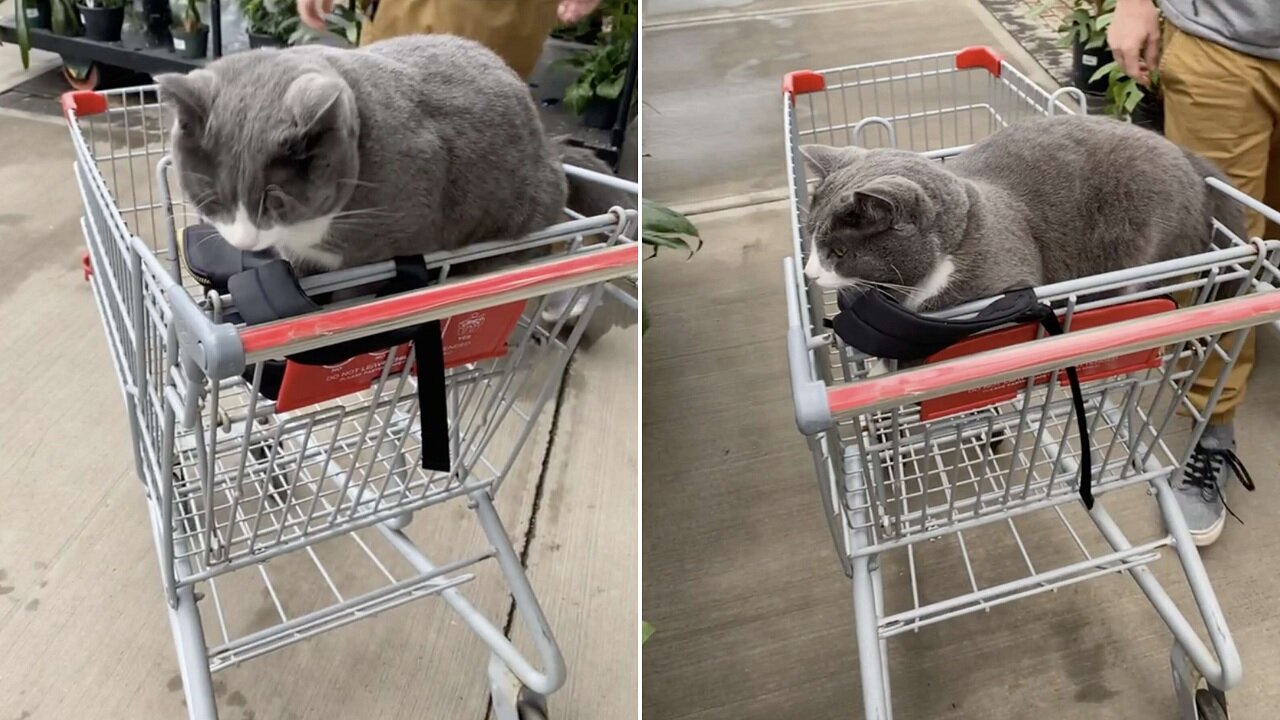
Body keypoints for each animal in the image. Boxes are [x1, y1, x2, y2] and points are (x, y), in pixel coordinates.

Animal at [803, 113, 1244, 310]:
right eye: (809, 240)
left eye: (838, 252)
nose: (809, 273)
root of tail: (1185, 155)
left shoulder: (1009, 278)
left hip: (1146, 250)